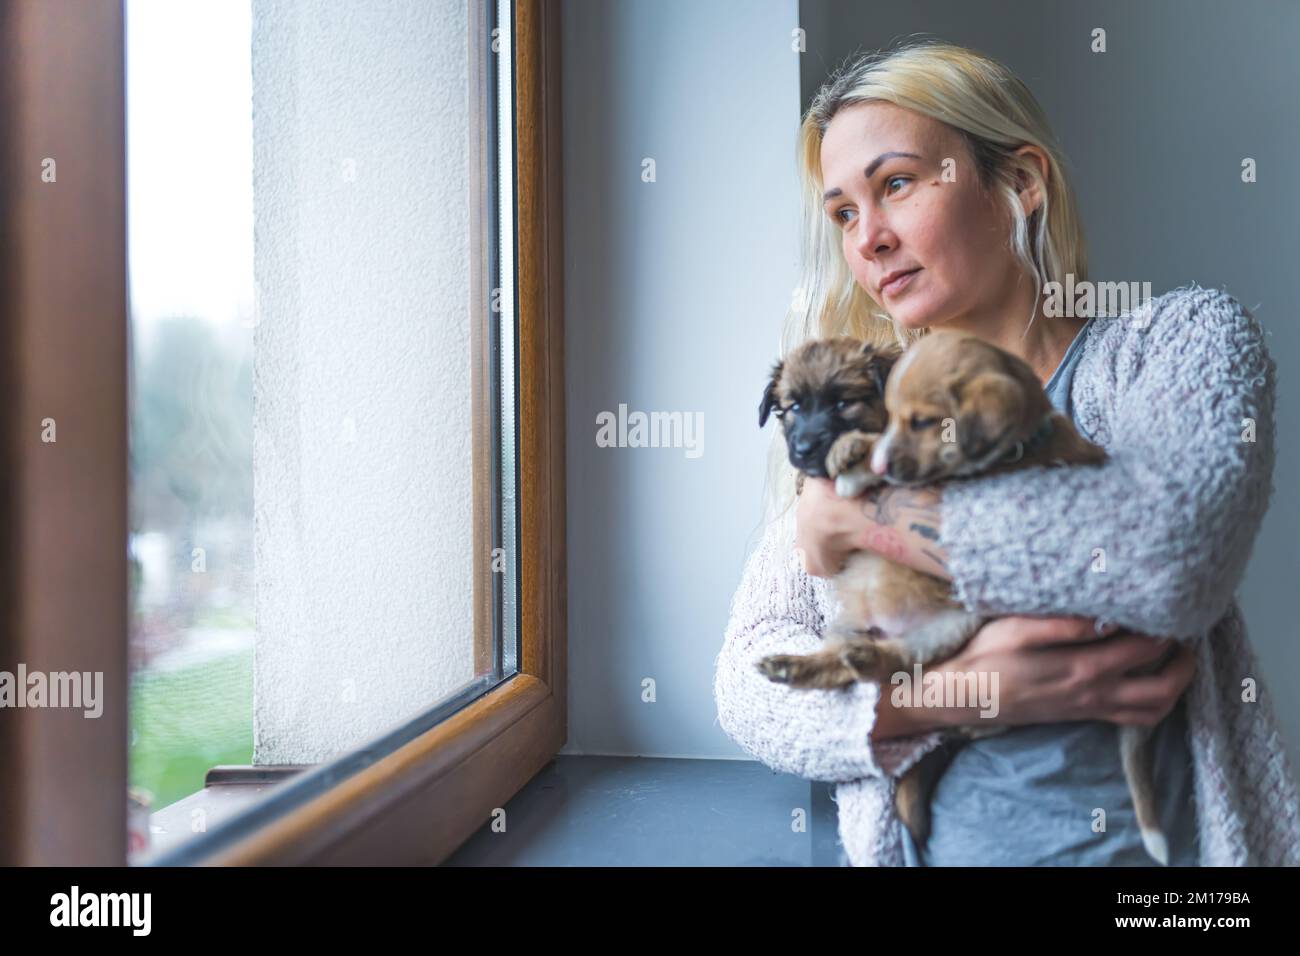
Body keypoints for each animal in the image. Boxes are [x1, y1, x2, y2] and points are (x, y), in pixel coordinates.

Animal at [754, 329, 1170, 868]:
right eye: (790, 409)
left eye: (844, 403)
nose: (803, 449)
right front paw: (825, 470)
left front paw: (851, 455)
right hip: (849, 625)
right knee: (847, 667)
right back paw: (794, 665)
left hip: (952, 629)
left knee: (896, 667)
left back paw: (867, 660)